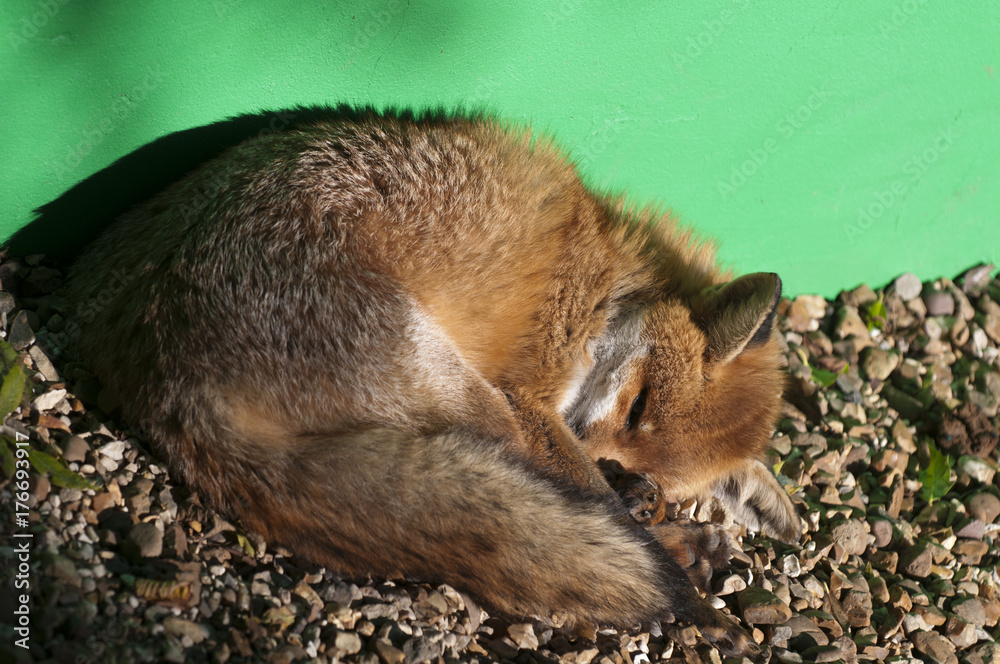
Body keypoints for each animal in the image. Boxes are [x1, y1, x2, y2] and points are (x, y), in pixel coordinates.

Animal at [63, 107, 800, 659]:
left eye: (644, 444)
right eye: (640, 403)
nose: (621, 468)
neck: (610, 273)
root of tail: (166, 371)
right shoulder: (530, 397)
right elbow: (590, 492)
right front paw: (658, 538)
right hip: (477, 401)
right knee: (570, 506)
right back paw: (680, 558)